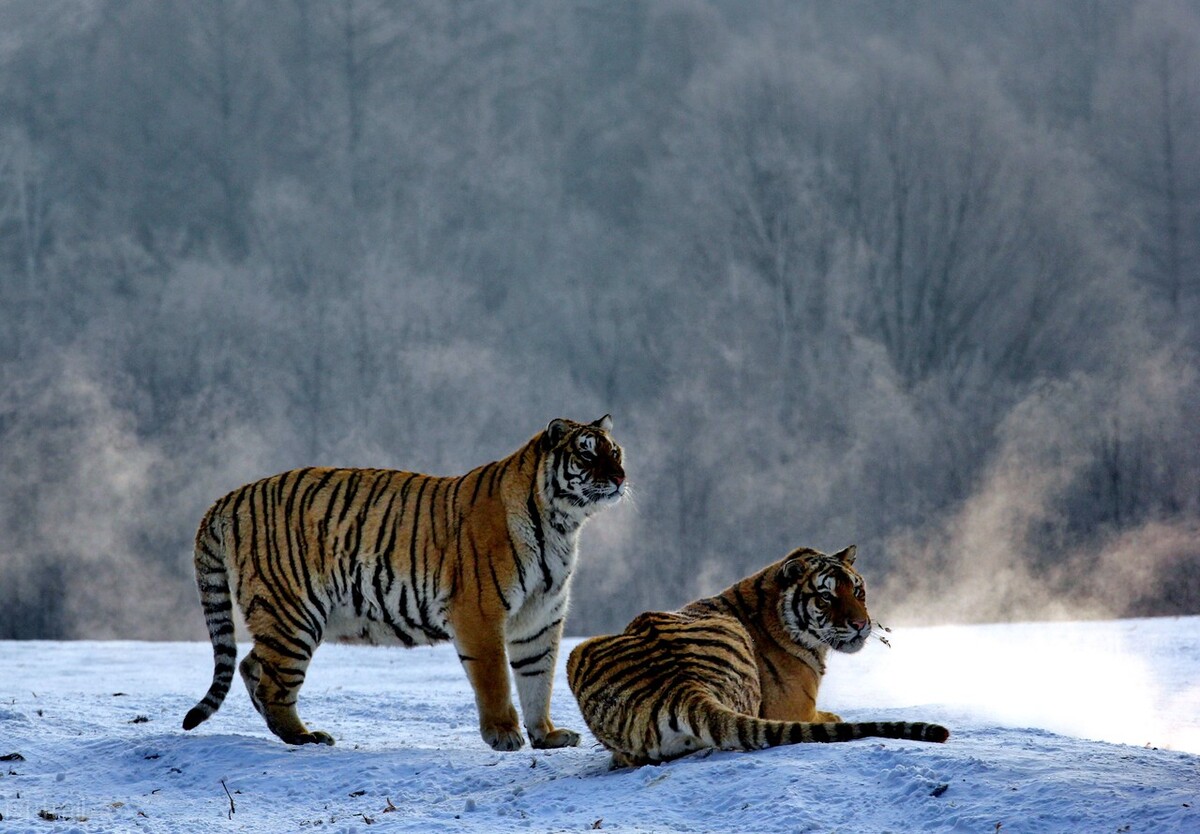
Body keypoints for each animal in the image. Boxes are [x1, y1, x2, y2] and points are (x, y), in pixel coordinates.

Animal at [183, 415, 625, 751]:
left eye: (615, 452)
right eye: (587, 453)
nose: (621, 477)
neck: (562, 525)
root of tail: (230, 497)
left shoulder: (539, 619)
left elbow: (538, 679)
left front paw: (547, 735)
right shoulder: (480, 613)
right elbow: (496, 679)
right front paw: (503, 735)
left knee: (250, 665)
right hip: (293, 614)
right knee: (273, 683)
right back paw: (305, 737)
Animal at [566, 545, 948, 767]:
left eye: (857, 591)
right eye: (826, 597)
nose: (860, 624)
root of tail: (680, 685)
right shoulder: (794, 709)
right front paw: (833, 716)